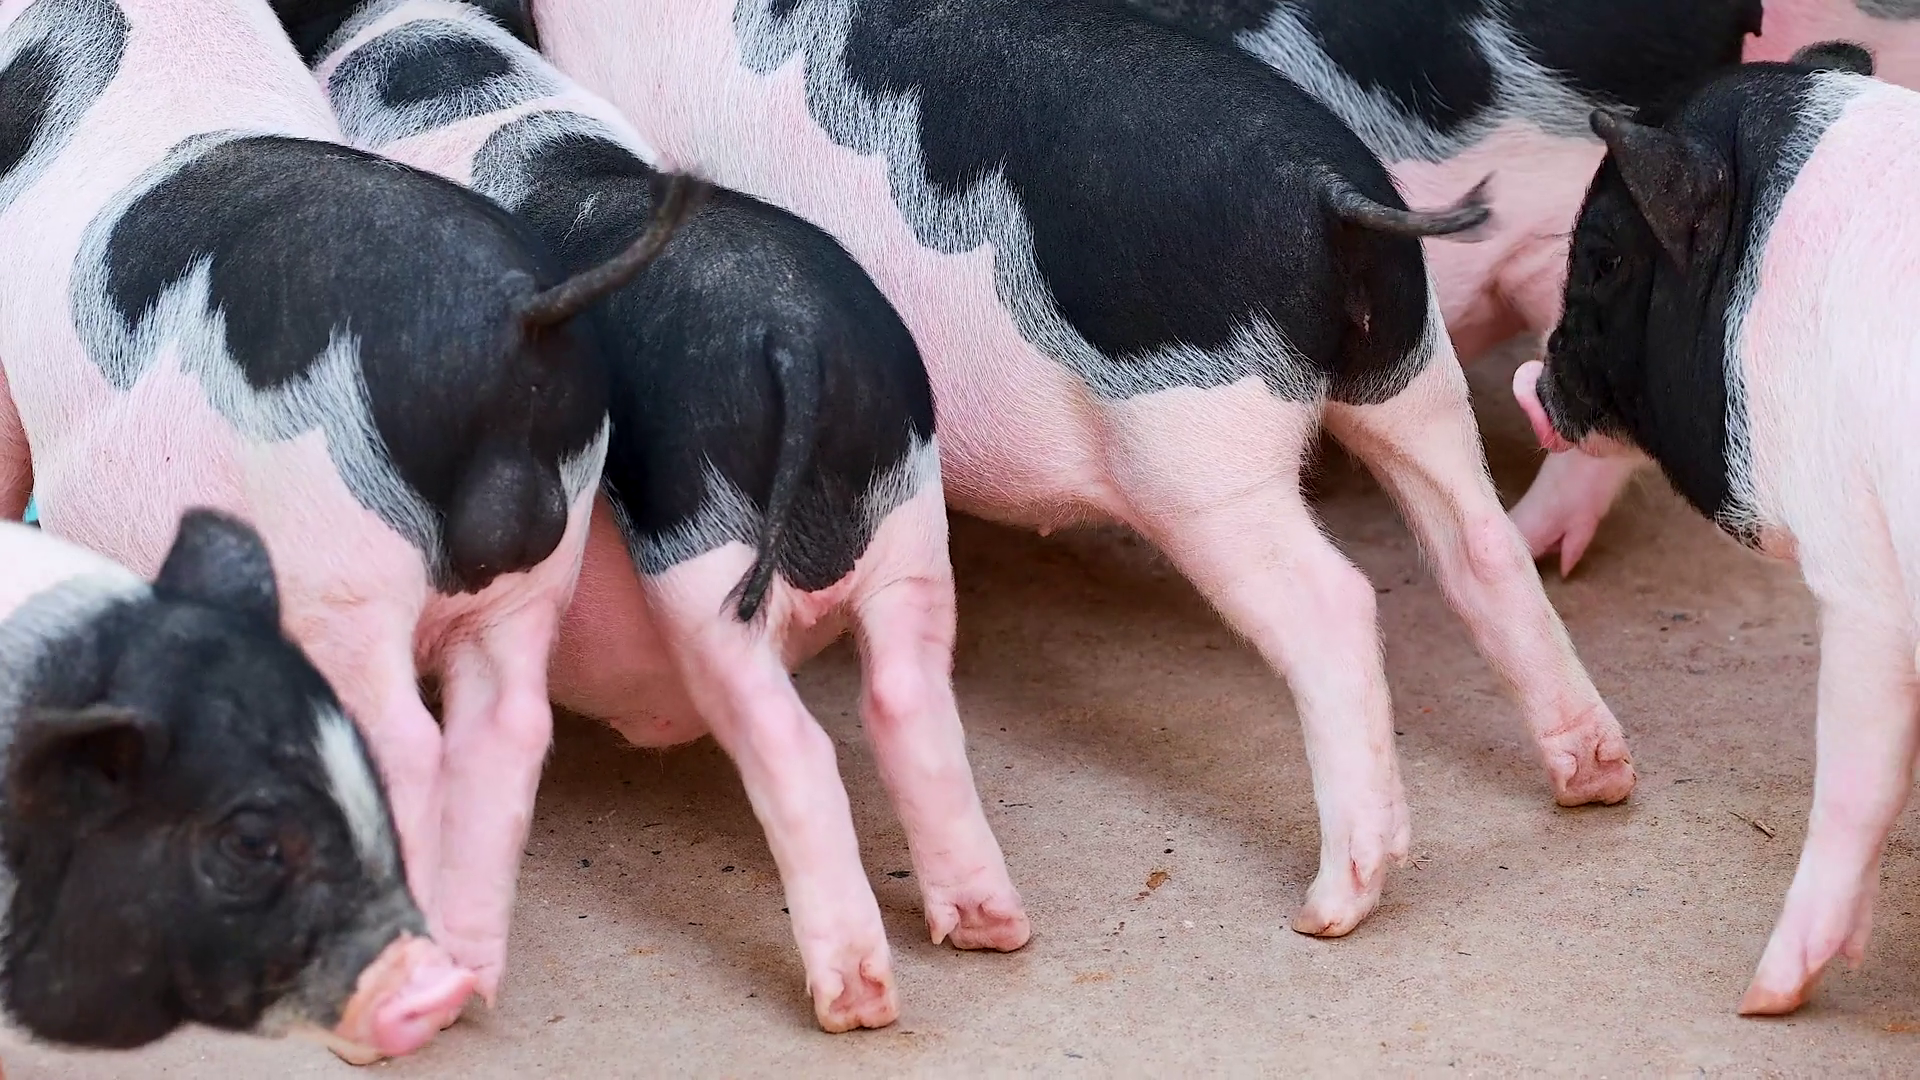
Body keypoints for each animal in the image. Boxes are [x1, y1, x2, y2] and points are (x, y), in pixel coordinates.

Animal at [298, 0, 1021, 1031]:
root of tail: (798, 340)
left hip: (700, 546)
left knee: (791, 741)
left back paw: (854, 998)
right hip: (908, 514)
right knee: (910, 696)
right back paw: (991, 926)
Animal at [531, 0, 1636, 959]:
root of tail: (1329, 192)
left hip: (1200, 452)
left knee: (1334, 603)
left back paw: (1330, 908)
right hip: (1410, 368)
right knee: (1478, 541)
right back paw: (1595, 776)